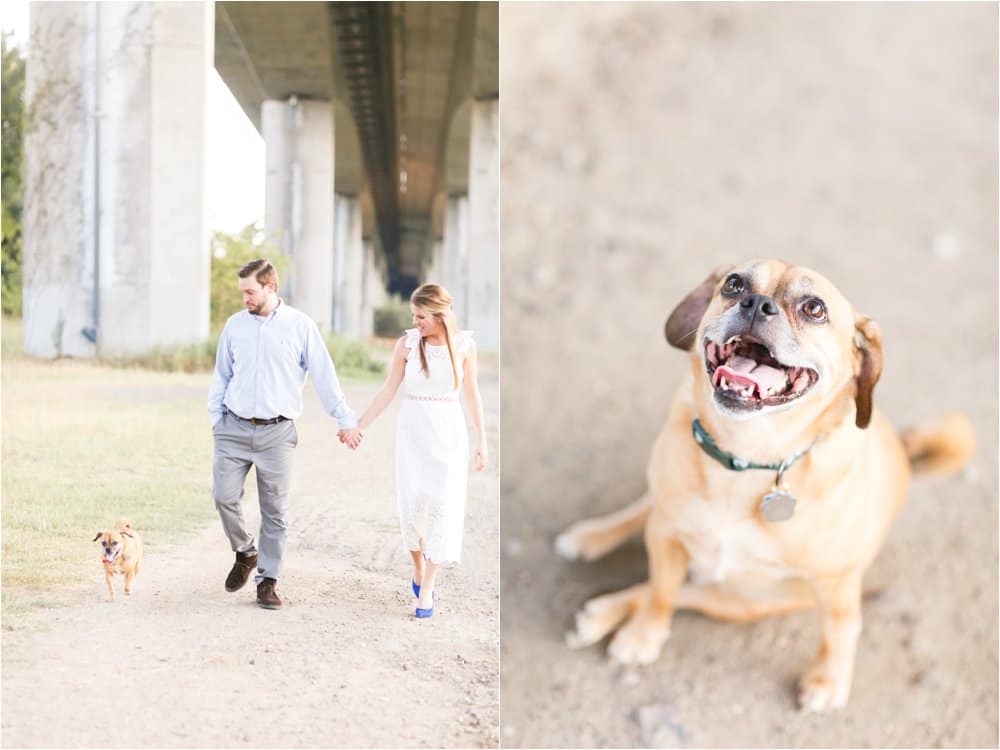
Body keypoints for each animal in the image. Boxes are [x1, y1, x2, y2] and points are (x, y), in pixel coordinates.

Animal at [556, 262, 968, 712]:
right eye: (733, 285)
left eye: (814, 309)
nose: (757, 304)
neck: (746, 458)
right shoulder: (665, 535)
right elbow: (661, 592)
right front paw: (643, 634)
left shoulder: (836, 582)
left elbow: (841, 629)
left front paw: (828, 681)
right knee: (646, 523)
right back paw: (590, 539)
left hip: (745, 602)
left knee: (690, 592)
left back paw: (601, 611)